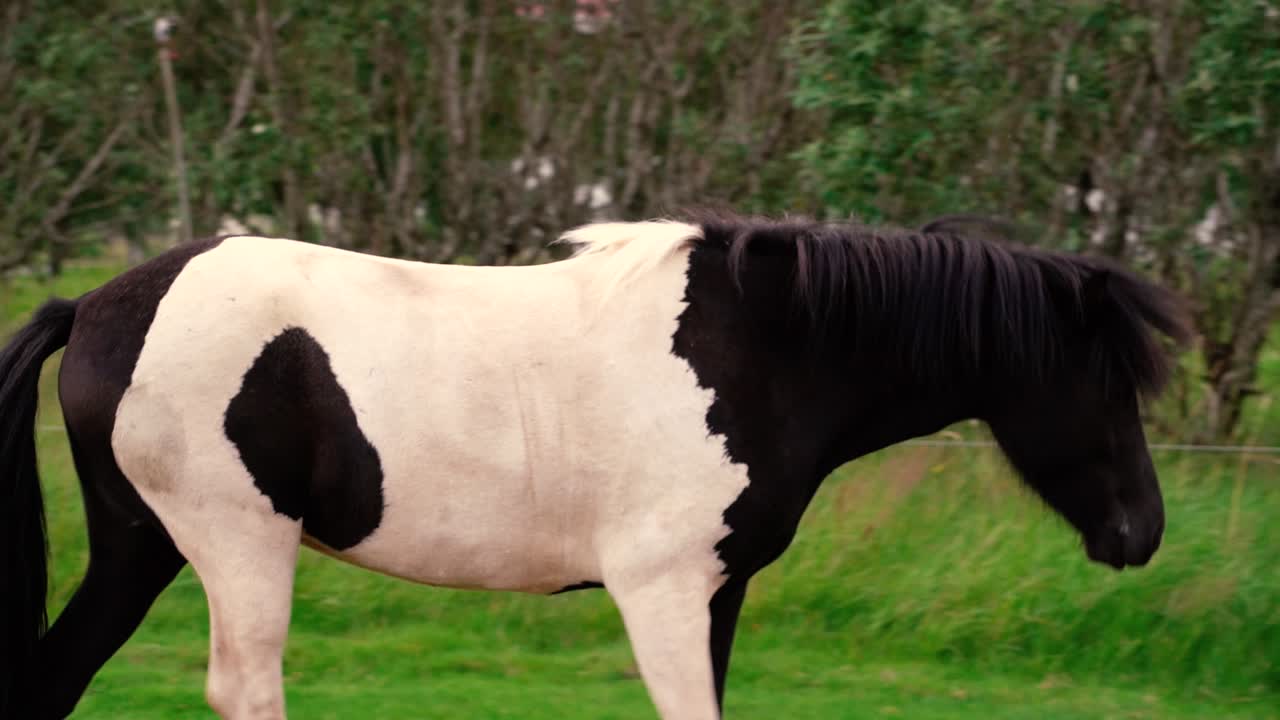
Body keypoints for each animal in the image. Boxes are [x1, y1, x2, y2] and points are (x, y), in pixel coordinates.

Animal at [0, 211, 1189, 719]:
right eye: (1105, 384)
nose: (1141, 534)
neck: (761, 350)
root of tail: (98, 305)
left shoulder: (714, 594)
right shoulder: (658, 590)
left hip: (140, 545)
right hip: (236, 546)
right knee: (244, 688)